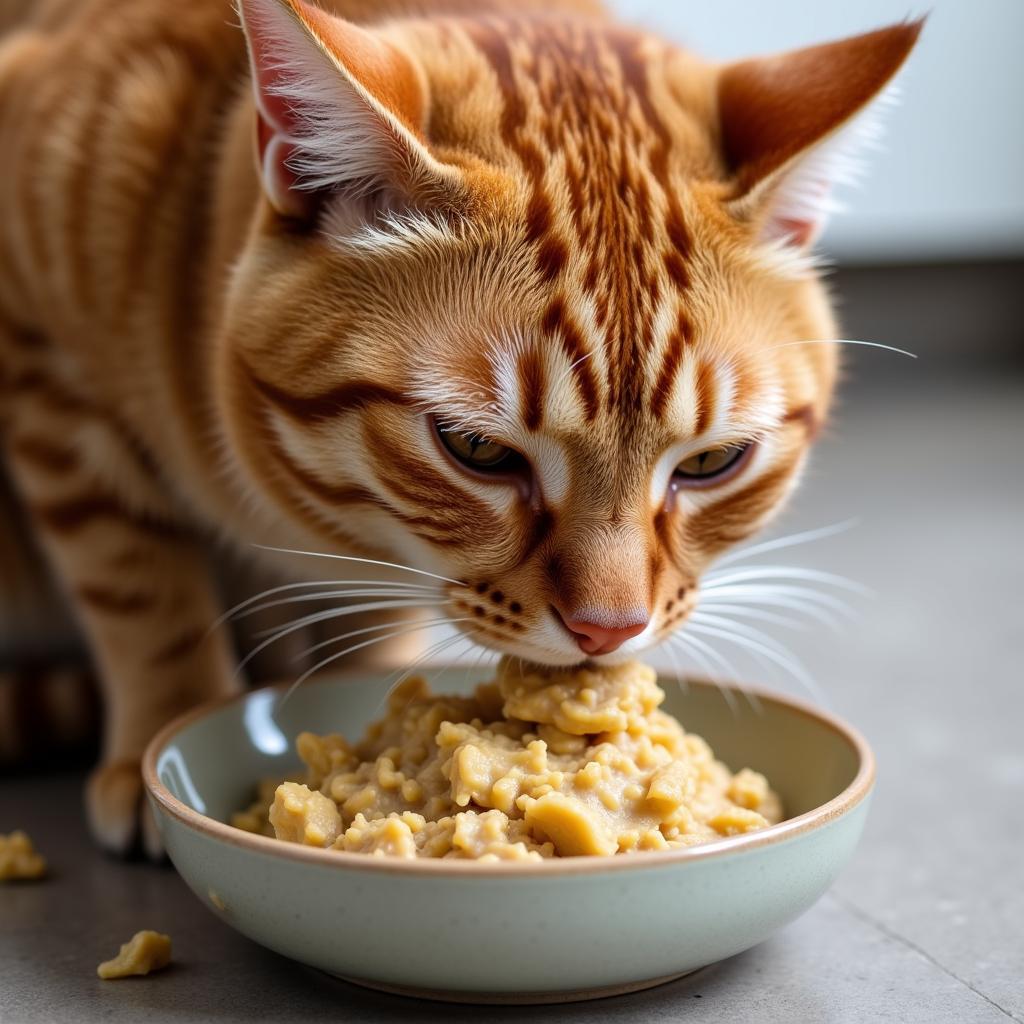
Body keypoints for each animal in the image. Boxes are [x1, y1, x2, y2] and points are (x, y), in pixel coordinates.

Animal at [0, 0, 921, 856]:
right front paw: (161, 738)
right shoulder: (44, 368)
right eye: (477, 449)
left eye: (714, 462)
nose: (607, 632)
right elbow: (142, 592)